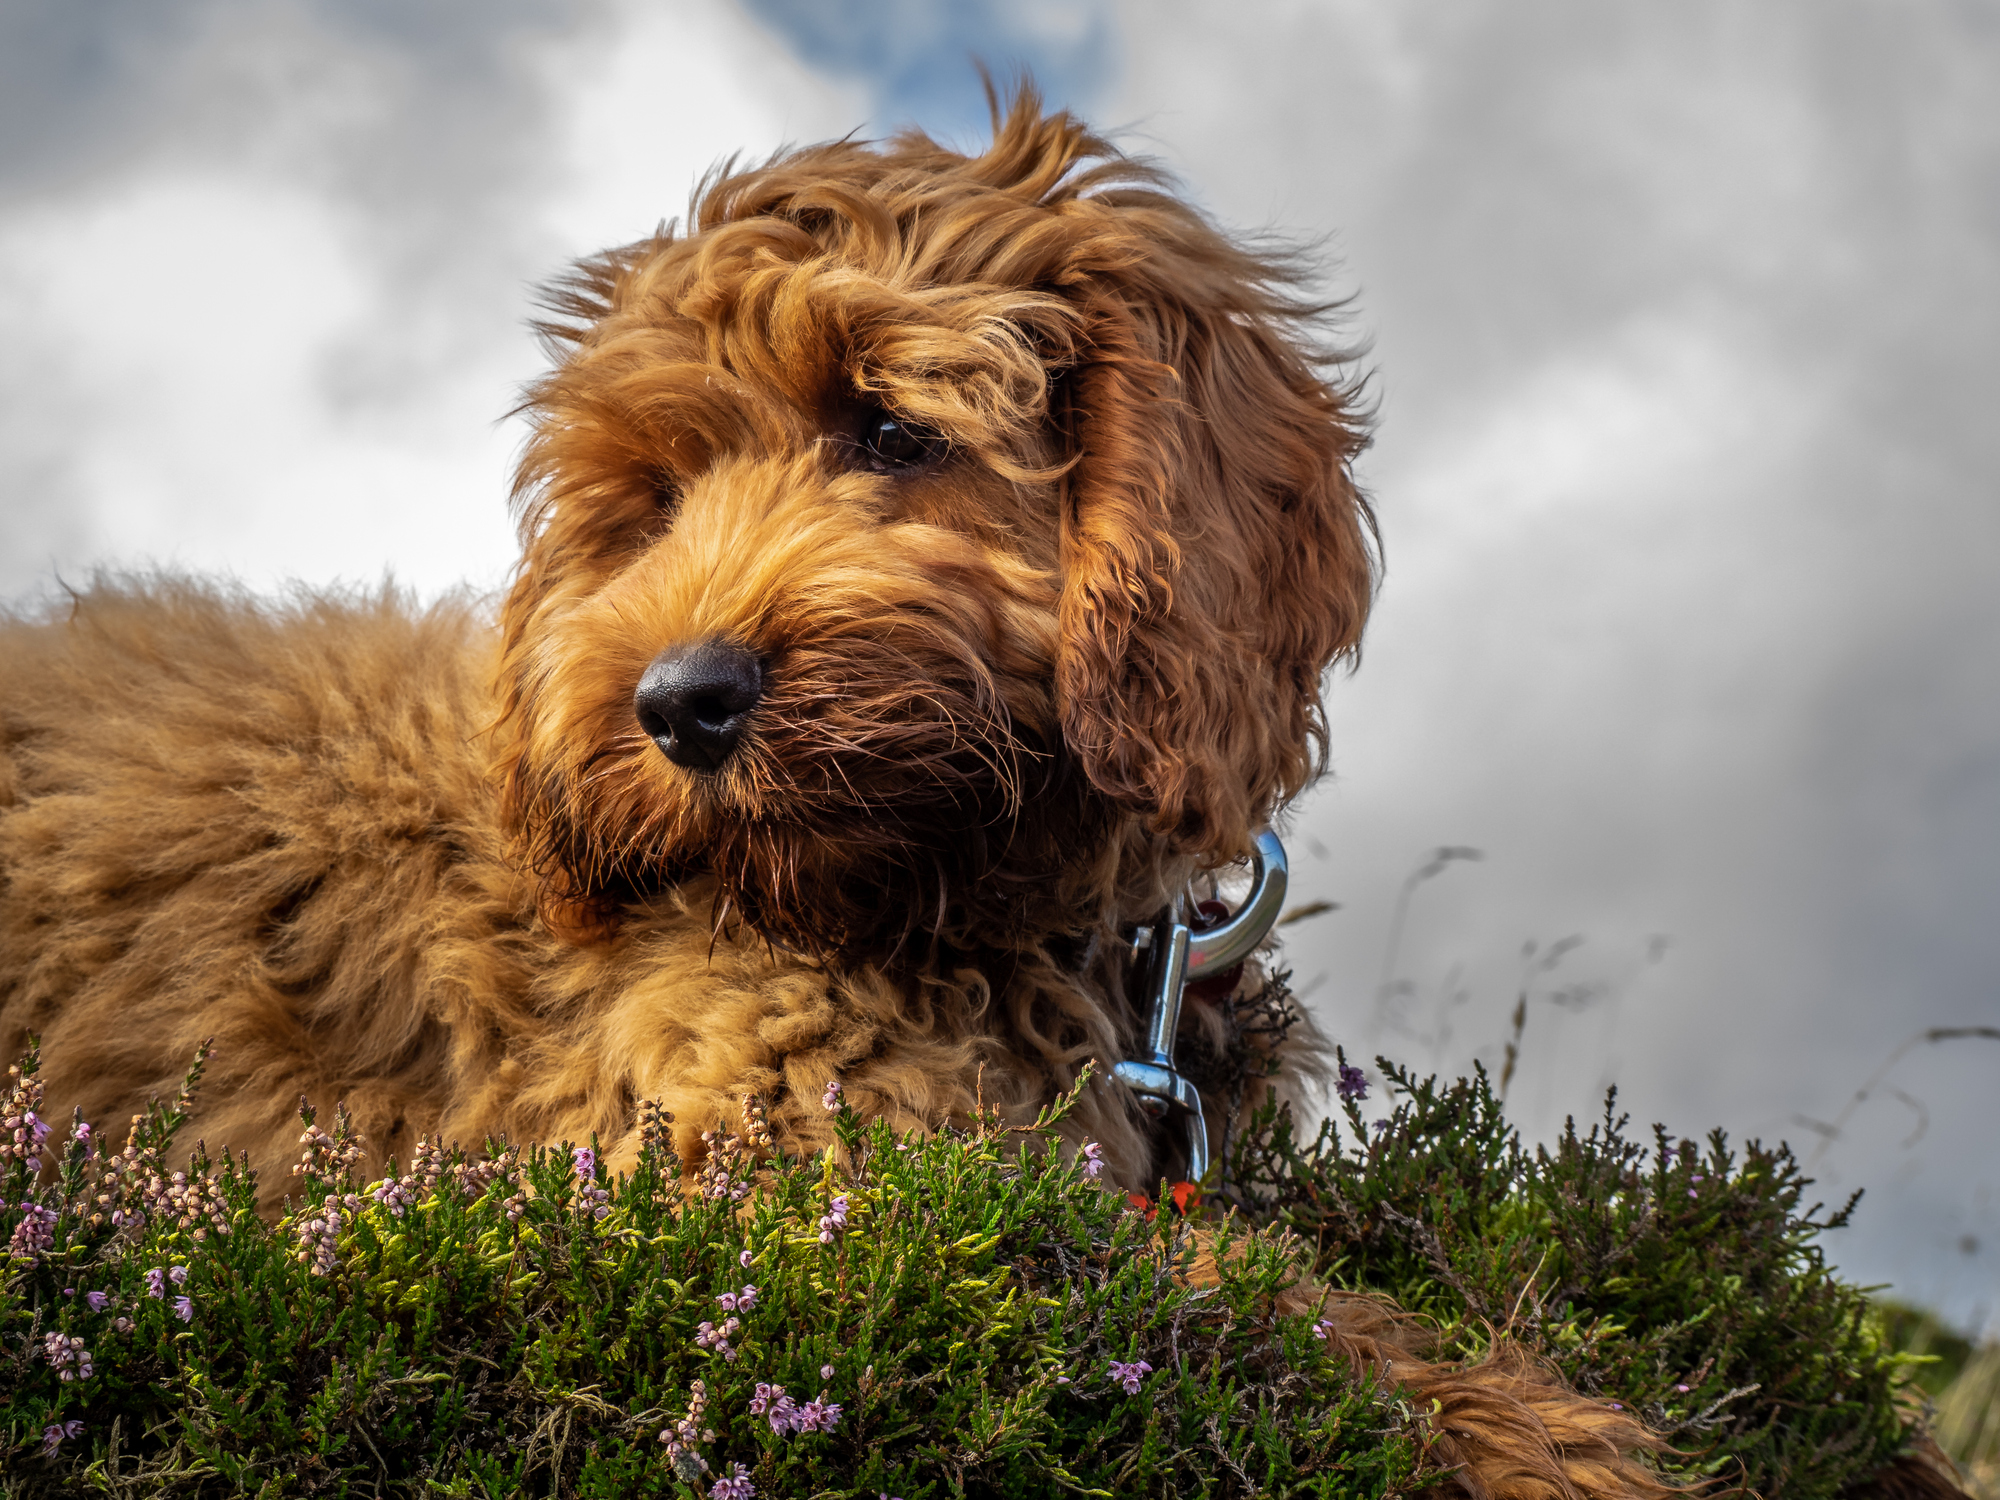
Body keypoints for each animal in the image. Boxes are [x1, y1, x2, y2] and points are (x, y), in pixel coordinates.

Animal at [3, 94, 1688, 1500]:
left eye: (891, 427)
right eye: (655, 502)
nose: (678, 705)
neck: (969, 904)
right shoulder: (754, 1160)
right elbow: (1200, 1287)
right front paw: (1537, 1435)